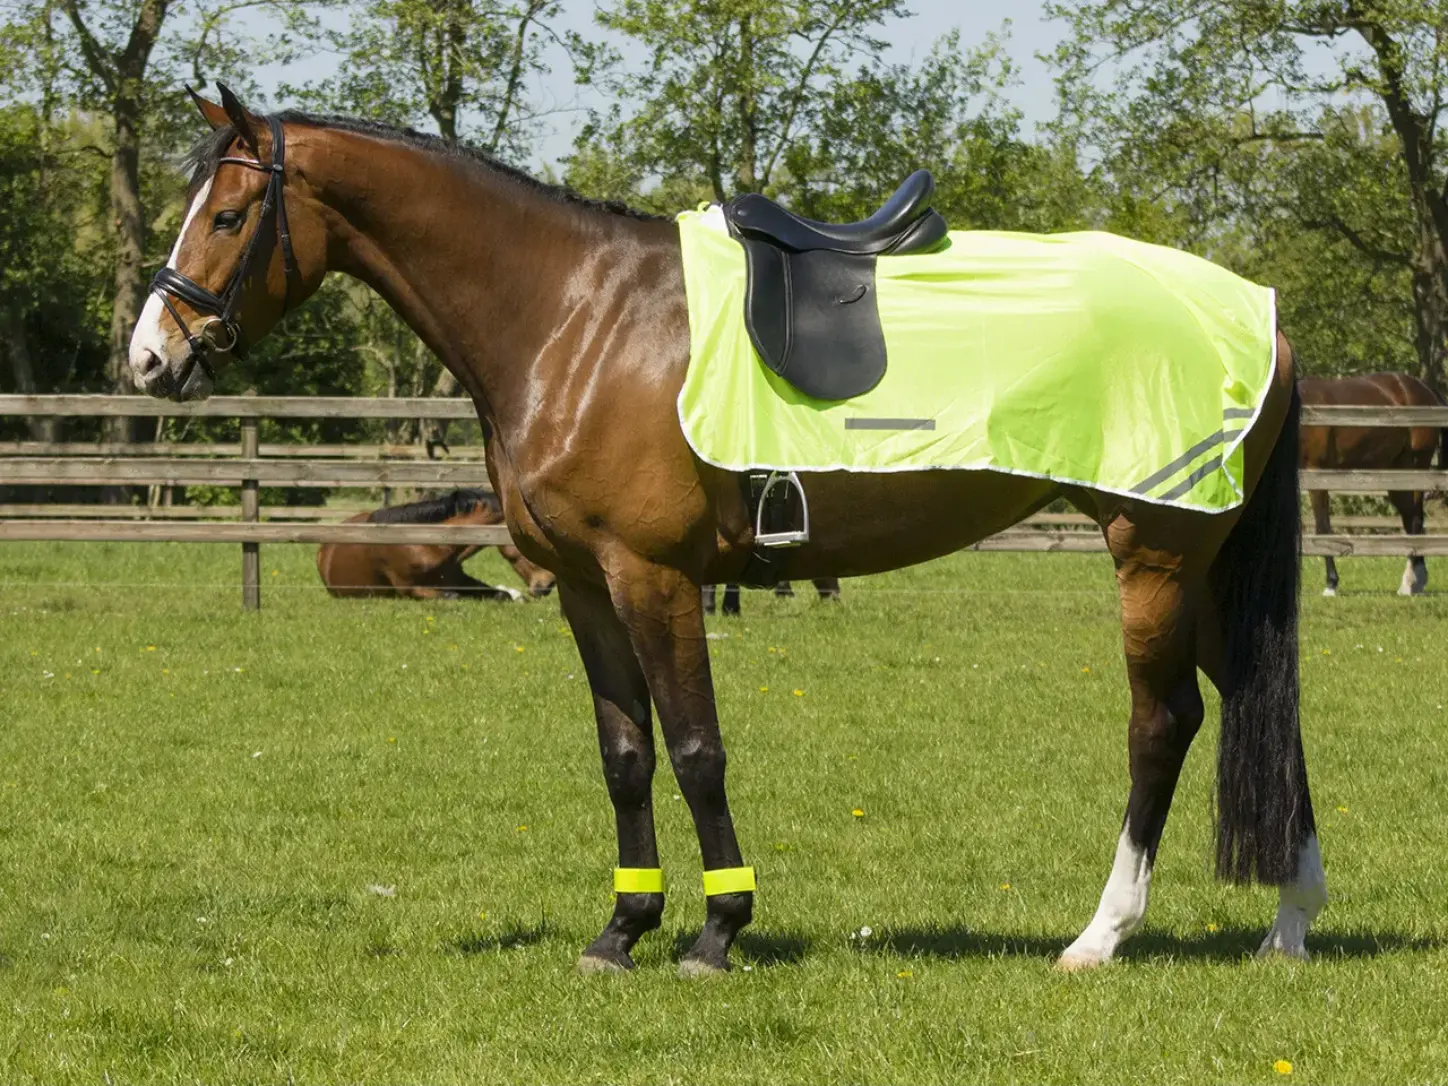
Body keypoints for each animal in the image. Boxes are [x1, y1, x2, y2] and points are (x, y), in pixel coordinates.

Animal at [1299, 373, 1445, 596]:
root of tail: (1423, 388)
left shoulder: (1316, 474)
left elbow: (1322, 528)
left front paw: (1331, 584)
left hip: (1415, 468)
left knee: (1415, 520)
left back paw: (1411, 583)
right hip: (1396, 476)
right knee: (1410, 518)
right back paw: (1414, 582)